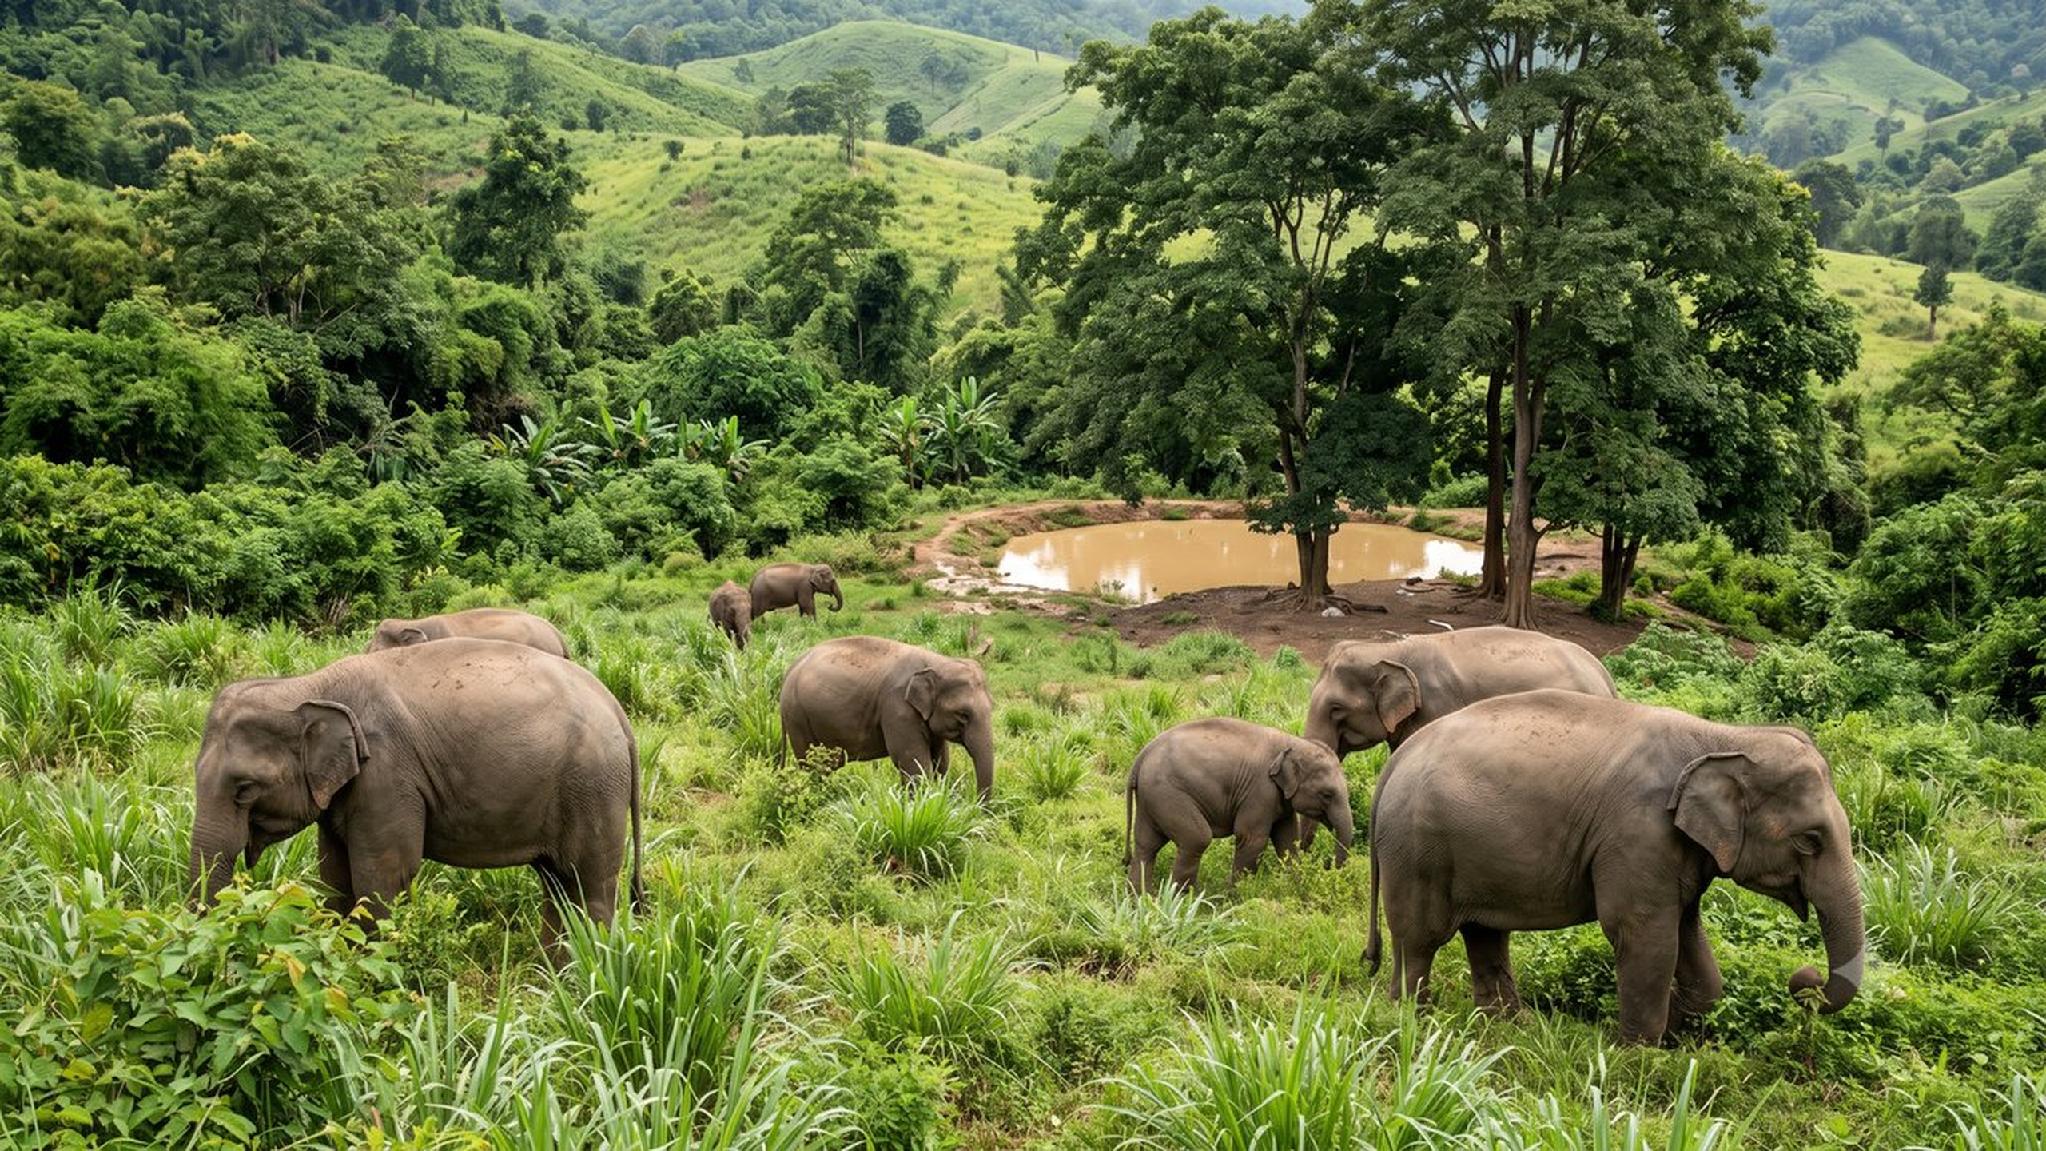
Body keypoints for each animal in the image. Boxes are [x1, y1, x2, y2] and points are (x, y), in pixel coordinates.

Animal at [189, 639, 643, 955]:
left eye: (244, 789)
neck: (307, 684)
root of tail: (617, 709)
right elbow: (334, 873)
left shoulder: (388, 775)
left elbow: (383, 874)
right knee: (557, 884)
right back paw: (549, 974)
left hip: (594, 787)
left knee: (590, 884)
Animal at [779, 636, 995, 801]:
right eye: (963, 715)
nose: (976, 807)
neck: (937, 662)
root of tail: (790, 668)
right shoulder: (898, 708)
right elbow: (913, 762)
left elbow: (940, 762)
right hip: (797, 716)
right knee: (812, 766)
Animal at [1124, 718, 1354, 894]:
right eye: (1327, 794)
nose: (1330, 870)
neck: (1293, 743)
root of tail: (1142, 755)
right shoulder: (1260, 791)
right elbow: (1252, 838)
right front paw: (1237, 897)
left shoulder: (1280, 799)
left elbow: (1287, 840)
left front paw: (1294, 885)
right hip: (1168, 793)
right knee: (1196, 839)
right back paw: (1182, 899)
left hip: (1152, 798)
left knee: (1147, 845)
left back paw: (1142, 898)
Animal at [1365, 689, 1864, 1045]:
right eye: (1810, 840)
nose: (1803, 979)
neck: (1726, 737)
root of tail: (1396, 760)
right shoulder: (1638, 834)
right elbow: (1644, 935)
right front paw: (1637, 1057)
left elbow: (1687, 933)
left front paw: (1675, 1026)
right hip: (1417, 850)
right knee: (1420, 939)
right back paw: (1415, 1023)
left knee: (1485, 934)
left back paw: (1507, 1027)